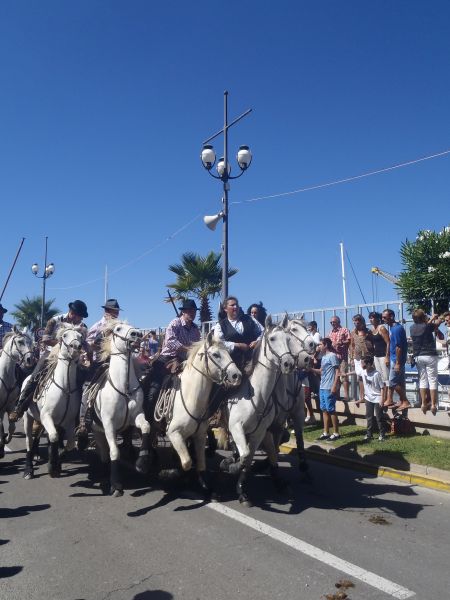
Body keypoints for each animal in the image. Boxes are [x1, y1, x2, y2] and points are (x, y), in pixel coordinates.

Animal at [0, 330, 34, 458]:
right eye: (20, 342)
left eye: (31, 342)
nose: (30, 359)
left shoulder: (10, 404)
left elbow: (11, 427)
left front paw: (5, 440)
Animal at [23, 324, 85, 478]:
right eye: (64, 335)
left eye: (81, 336)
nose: (76, 347)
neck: (65, 386)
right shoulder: (47, 417)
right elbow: (54, 437)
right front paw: (52, 466)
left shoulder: (68, 422)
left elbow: (68, 443)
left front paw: (57, 463)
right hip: (28, 417)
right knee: (29, 439)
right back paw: (28, 469)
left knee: (37, 438)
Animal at [91, 322, 151, 500]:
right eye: (118, 329)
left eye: (133, 326)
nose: (137, 334)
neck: (124, 388)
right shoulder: (109, 424)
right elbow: (115, 453)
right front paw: (116, 485)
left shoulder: (137, 415)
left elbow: (146, 426)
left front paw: (142, 463)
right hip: (98, 431)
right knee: (105, 453)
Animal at [166, 330, 243, 494]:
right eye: (215, 354)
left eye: (229, 352)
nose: (237, 376)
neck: (190, 397)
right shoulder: (173, 433)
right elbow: (187, 462)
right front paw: (173, 475)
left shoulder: (200, 435)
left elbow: (200, 462)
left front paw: (203, 484)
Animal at [221, 314, 296, 506]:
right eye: (272, 339)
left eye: (288, 339)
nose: (289, 363)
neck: (258, 396)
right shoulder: (236, 427)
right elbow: (245, 455)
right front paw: (231, 467)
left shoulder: (259, 432)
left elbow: (247, 459)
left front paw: (242, 491)